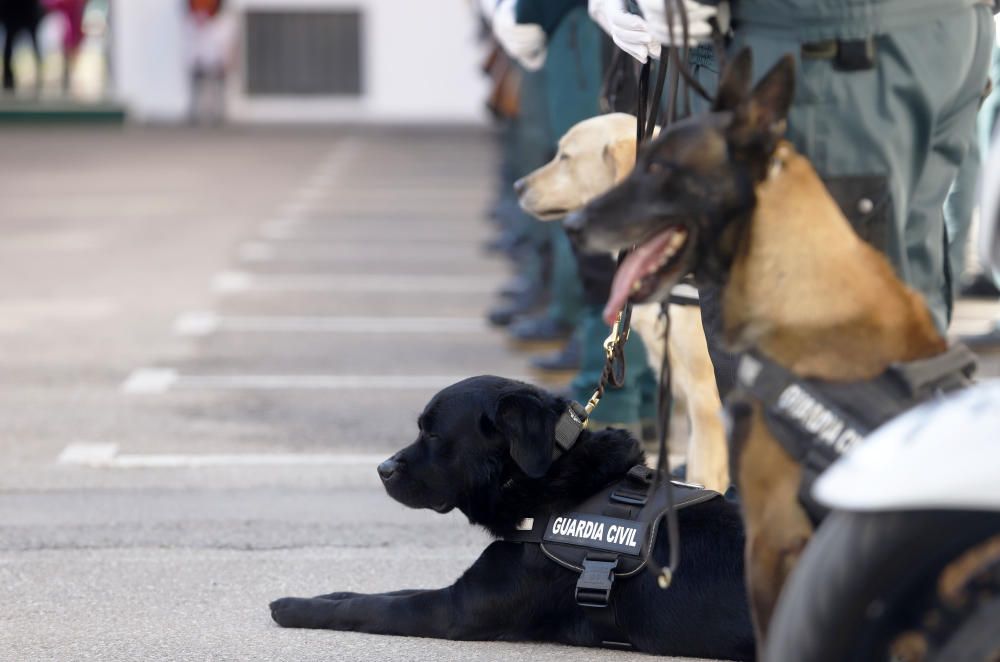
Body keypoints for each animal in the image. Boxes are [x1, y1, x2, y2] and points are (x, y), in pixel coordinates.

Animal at [270, 376, 752, 660]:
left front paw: (294, 607)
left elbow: (374, 605)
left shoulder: (454, 609)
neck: (545, 481)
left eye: (432, 433)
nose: (382, 469)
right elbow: (380, 591)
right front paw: (325, 593)